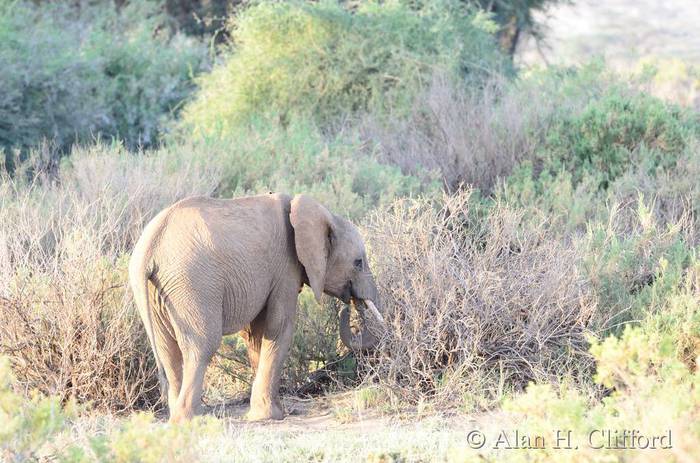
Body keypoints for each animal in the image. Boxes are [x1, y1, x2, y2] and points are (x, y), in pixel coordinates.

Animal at [128, 193, 384, 422]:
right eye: (358, 263)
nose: (347, 308)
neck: (320, 212)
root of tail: (150, 246)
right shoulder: (286, 267)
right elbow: (279, 327)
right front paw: (270, 417)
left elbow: (256, 335)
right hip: (192, 283)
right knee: (202, 346)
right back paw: (193, 420)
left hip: (157, 292)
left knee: (168, 350)